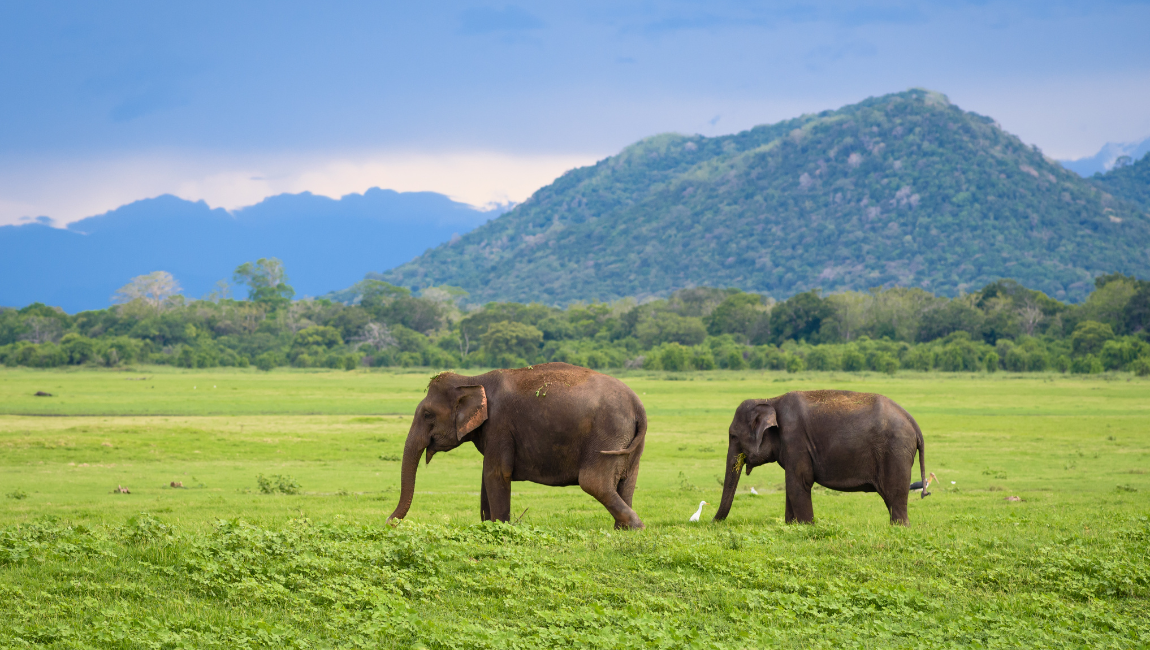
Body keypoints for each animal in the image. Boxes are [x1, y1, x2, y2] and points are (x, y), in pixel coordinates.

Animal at [387, 362, 647, 529]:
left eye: (428, 415)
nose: (390, 523)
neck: (472, 380)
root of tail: (638, 405)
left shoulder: (499, 425)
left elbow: (496, 473)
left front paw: (500, 527)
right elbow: (486, 476)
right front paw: (487, 526)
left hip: (607, 434)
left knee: (594, 482)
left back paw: (636, 526)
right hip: (630, 441)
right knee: (627, 482)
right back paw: (622, 530)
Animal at [713, 390, 926, 525]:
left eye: (733, 436)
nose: (712, 523)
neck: (770, 400)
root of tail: (914, 424)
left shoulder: (795, 439)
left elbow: (798, 482)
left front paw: (806, 526)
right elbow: (792, 485)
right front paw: (792, 526)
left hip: (895, 452)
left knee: (895, 495)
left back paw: (899, 527)